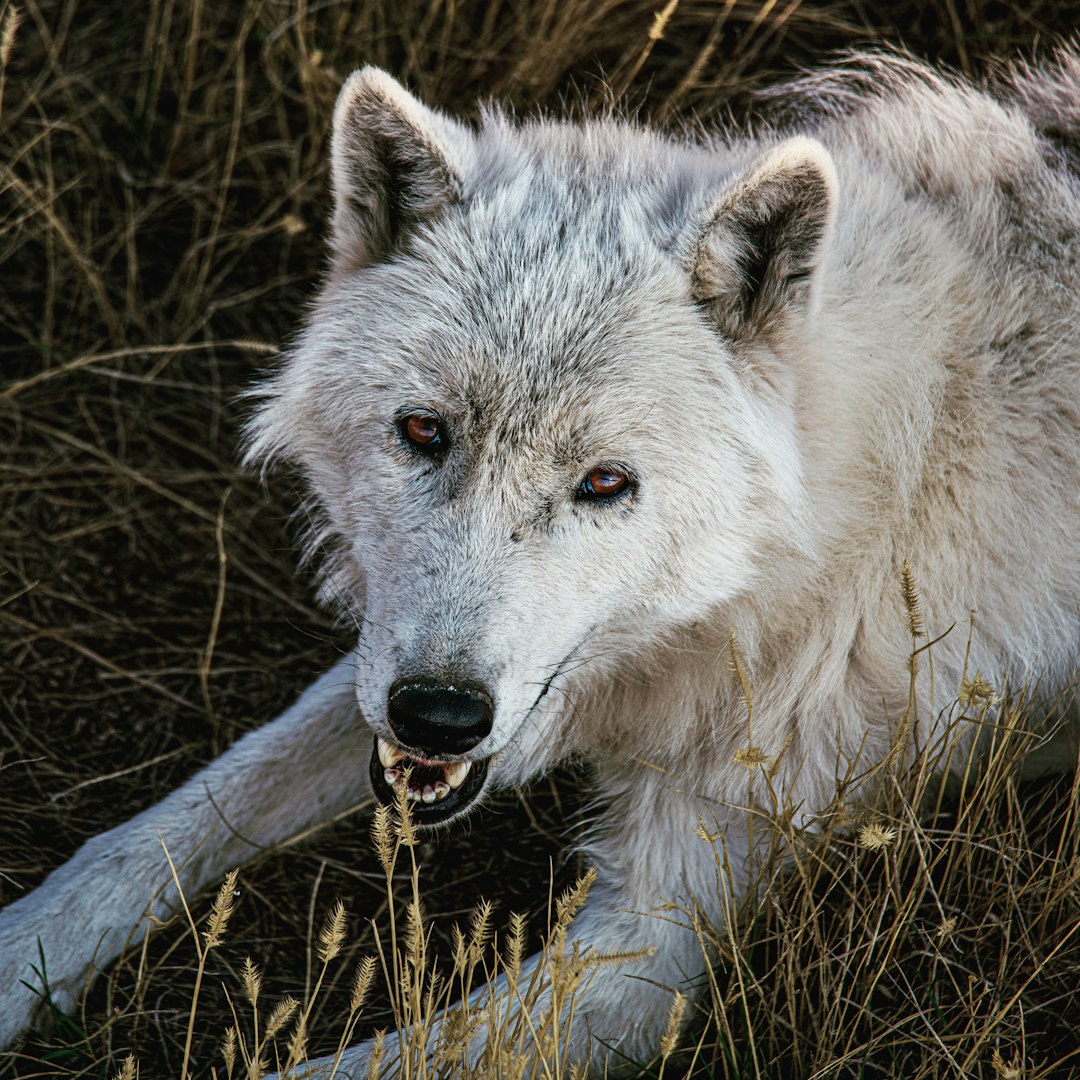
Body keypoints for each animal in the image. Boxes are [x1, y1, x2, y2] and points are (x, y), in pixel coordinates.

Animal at [2, 46, 1080, 1075]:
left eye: (605, 482)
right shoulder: (389, 671)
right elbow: (171, 822)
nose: (439, 716)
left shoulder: (650, 943)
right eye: (424, 431)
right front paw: (19, 954)